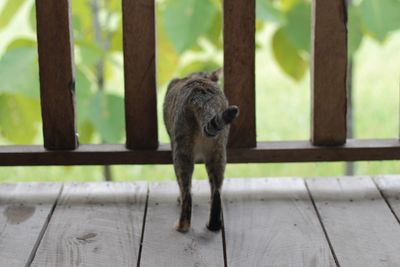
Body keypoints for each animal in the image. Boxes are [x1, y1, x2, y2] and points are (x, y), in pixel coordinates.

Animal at [163, 69, 239, 232]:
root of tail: (201, 95)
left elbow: (181, 188)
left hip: (181, 152)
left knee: (187, 193)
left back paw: (182, 226)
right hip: (218, 151)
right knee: (216, 191)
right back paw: (214, 225)